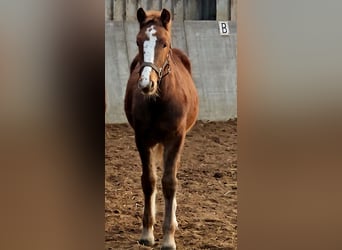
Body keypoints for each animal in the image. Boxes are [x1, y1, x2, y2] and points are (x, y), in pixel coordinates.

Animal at [123, 7, 198, 248]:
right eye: (138, 42)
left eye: (164, 43)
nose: (147, 84)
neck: (159, 101)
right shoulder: (142, 139)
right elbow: (149, 181)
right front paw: (147, 232)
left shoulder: (176, 139)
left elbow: (170, 182)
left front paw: (168, 237)